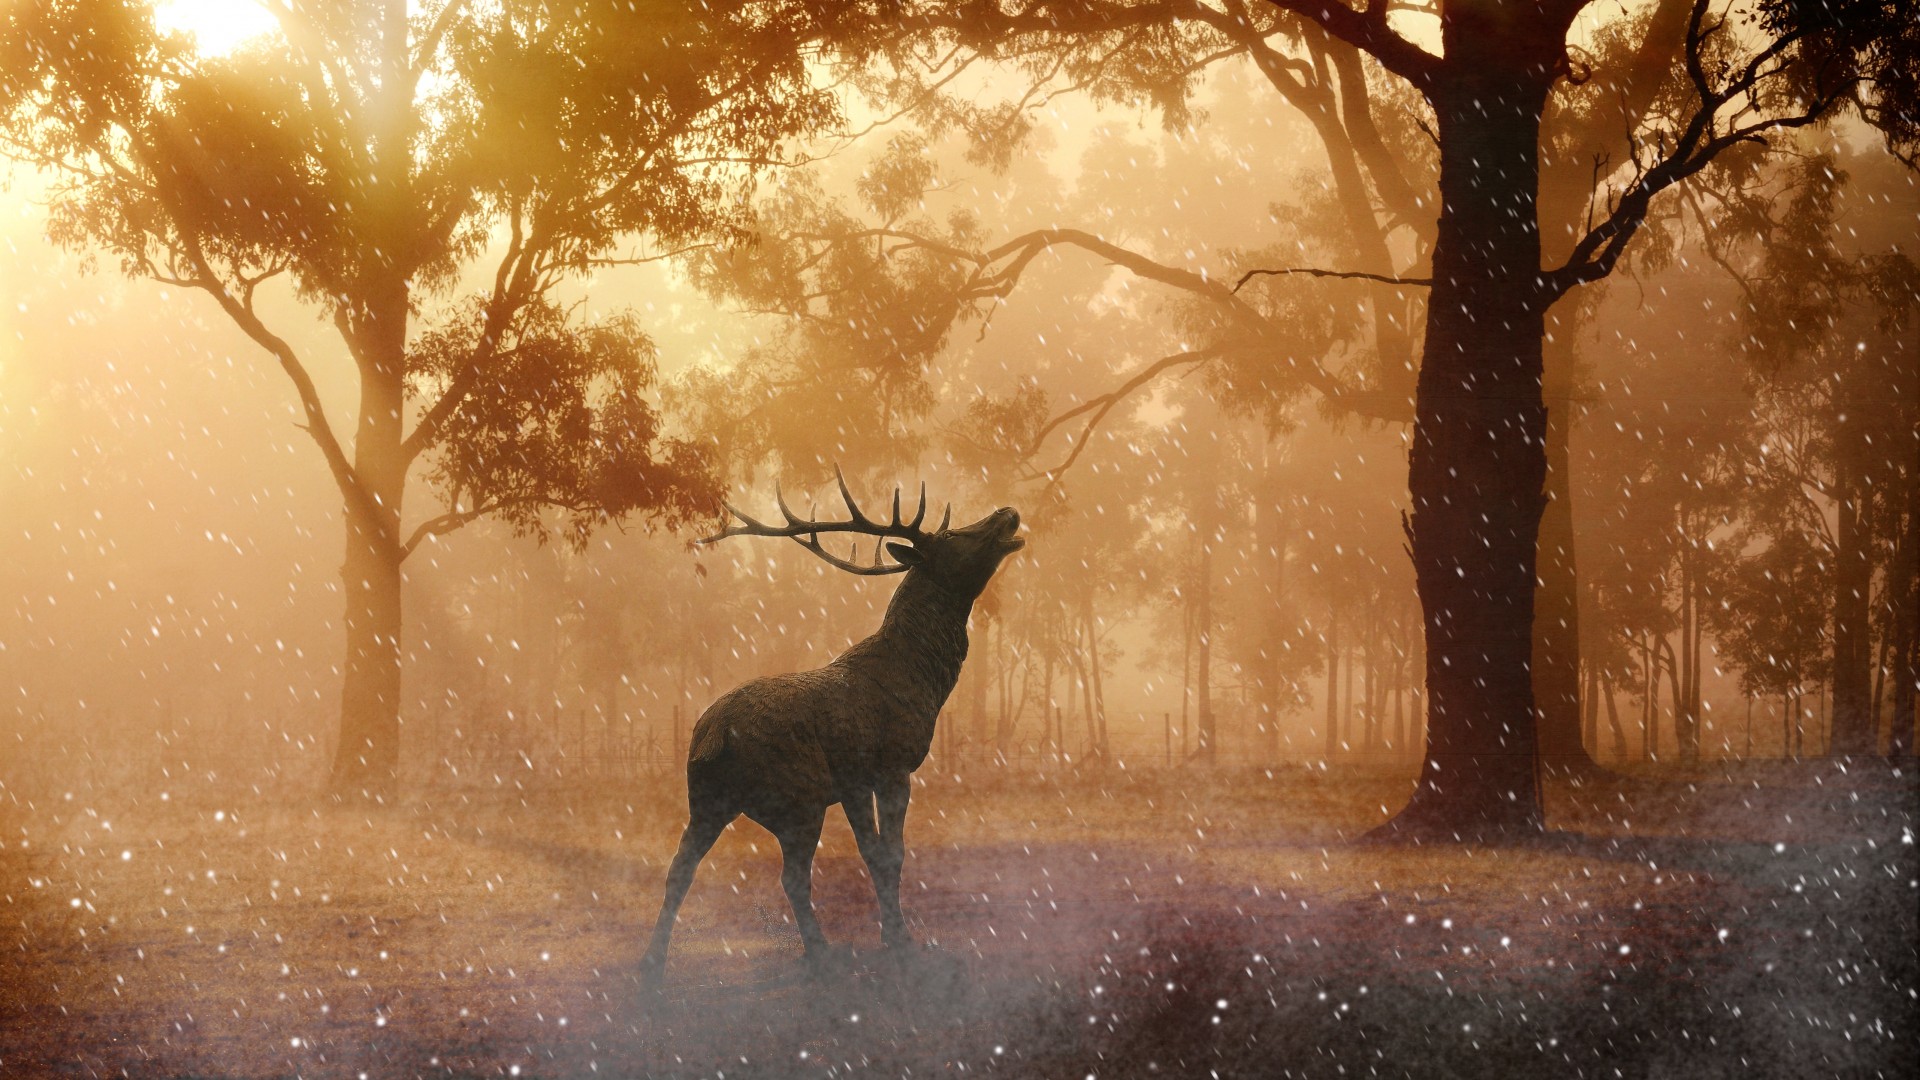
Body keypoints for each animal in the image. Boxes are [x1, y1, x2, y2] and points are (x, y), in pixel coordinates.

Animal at [639, 469, 1024, 986]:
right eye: (949, 536)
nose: (1008, 511)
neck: (924, 680)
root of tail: (711, 737)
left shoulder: (852, 782)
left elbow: (873, 853)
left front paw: (889, 935)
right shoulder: (890, 765)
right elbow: (892, 853)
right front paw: (903, 943)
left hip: (705, 798)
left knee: (680, 867)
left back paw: (652, 963)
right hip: (798, 796)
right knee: (792, 877)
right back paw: (822, 952)